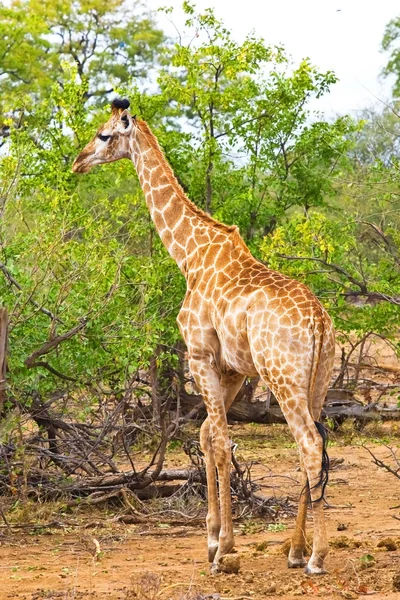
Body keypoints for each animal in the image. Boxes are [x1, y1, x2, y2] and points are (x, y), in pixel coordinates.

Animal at [72, 99, 338, 576]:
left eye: (104, 135)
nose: (79, 161)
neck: (190, 257)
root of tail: (319, 324)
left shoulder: (199, 355)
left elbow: (219, 443)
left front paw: (222, 547)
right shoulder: (231, 368)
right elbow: (207, 437)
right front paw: (213, 538)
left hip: (283, 378)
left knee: (308, 445)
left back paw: (315, 558)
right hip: (319, 380)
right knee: (314, 445)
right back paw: (294, 550)